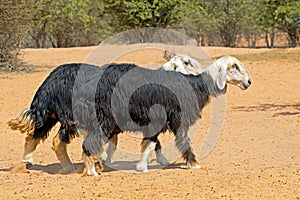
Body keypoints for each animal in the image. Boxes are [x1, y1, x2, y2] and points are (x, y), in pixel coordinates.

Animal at [7, 54, 200, 173]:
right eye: (187, 62)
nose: (199, 73)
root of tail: (51, 82)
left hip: (48, 114)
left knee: (35, 135)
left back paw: (27, 163)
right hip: (70, 119)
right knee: (56, 141)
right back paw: (72, 167)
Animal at [74, 55, 251, 176]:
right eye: (234, 66)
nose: (249, 82)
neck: (195, 85)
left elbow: (152, 142)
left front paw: (146, 164)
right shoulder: (171, 118)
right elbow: (179, 141)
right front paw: (194, 163)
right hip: (103, 118)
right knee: (89, 143)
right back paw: (92, 170)